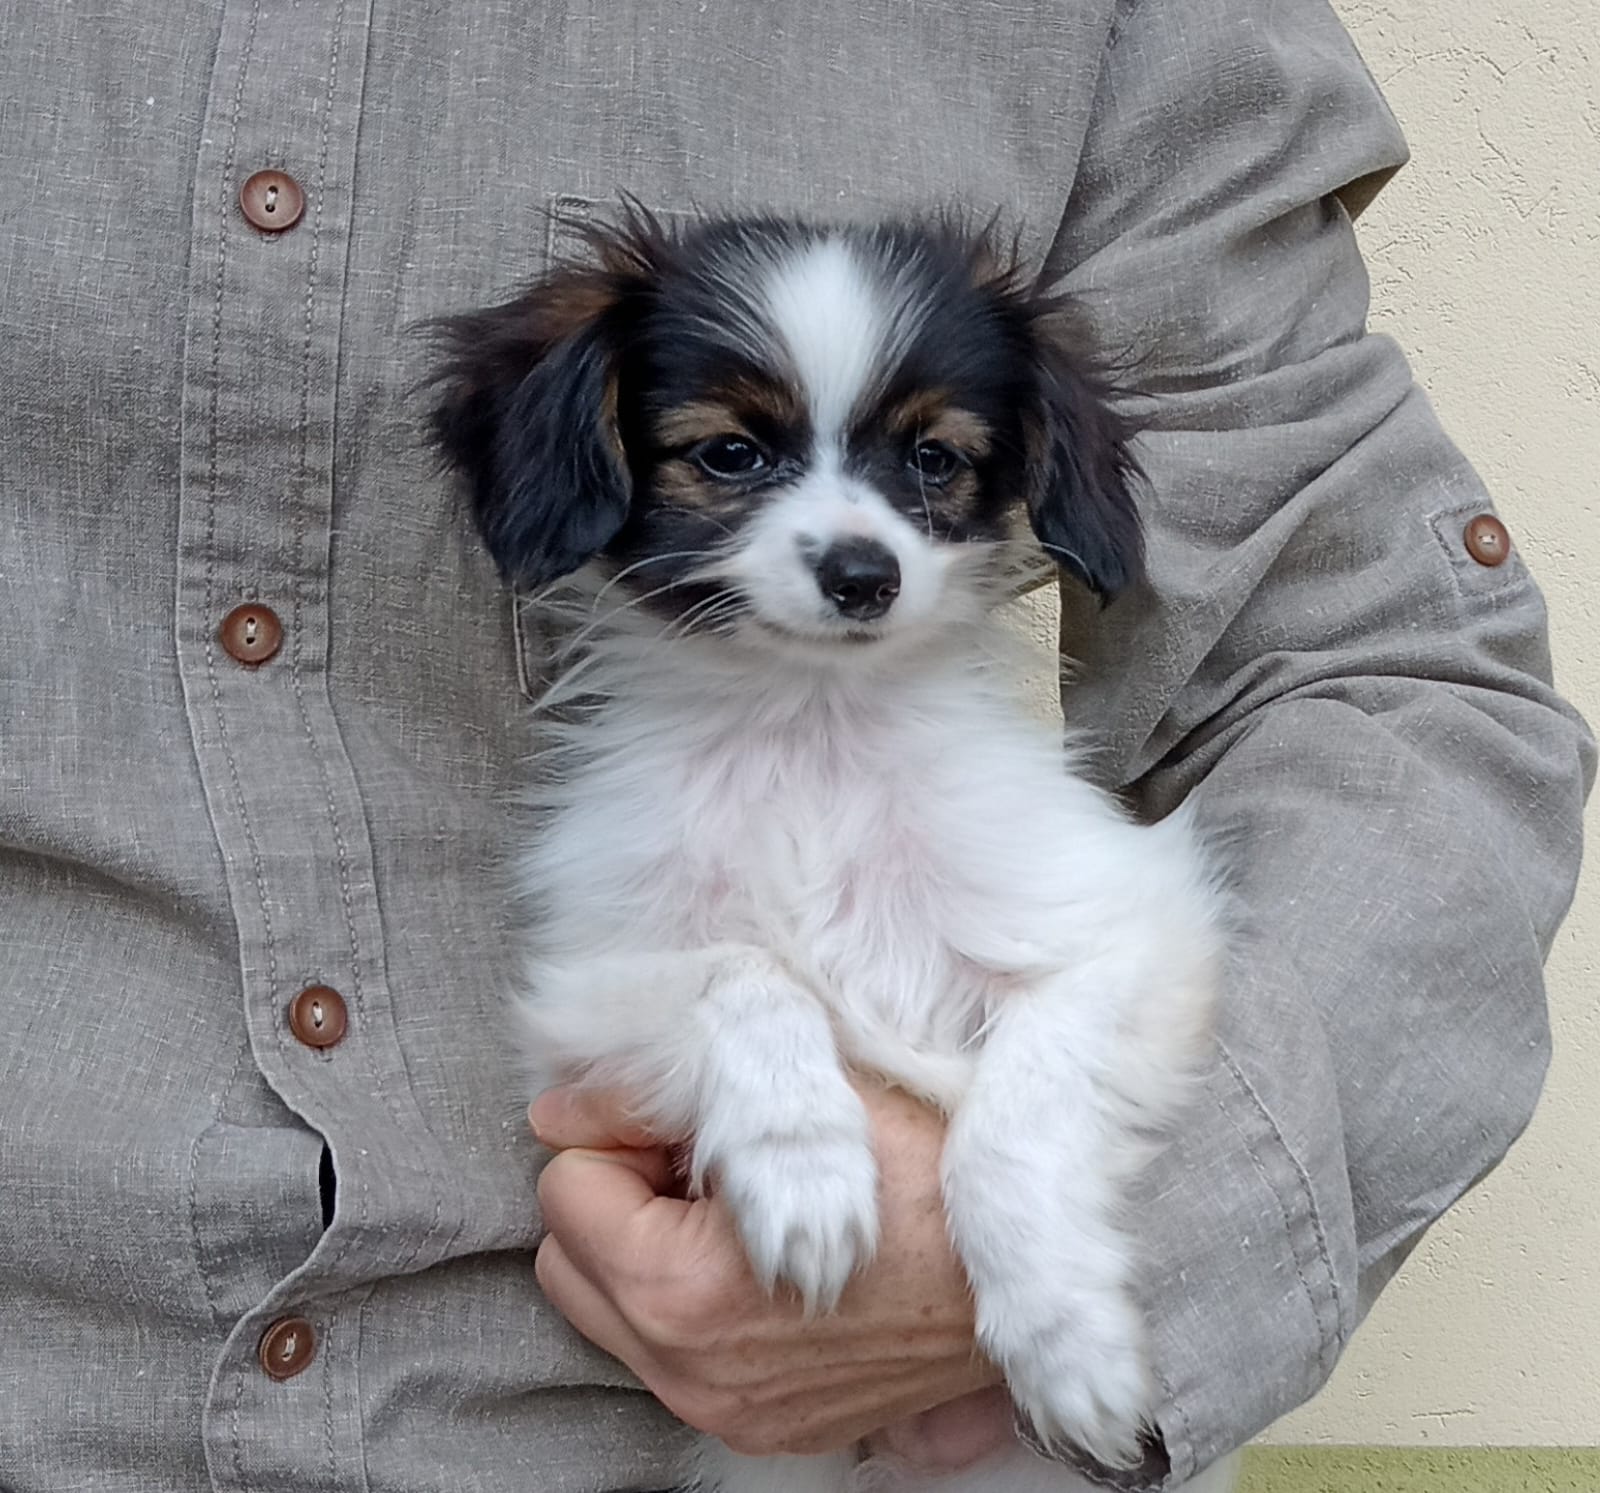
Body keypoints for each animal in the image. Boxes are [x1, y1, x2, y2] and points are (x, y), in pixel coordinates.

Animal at [429, 209, 1229, 1493]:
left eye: (935, 461)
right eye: (728, 455)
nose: (865, 574)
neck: (813, 731)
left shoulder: (1132, 934)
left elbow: (1011, 1123)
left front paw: (1068, 1342)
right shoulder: (578, 1006)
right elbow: (748, 973)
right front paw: (803, 1170)